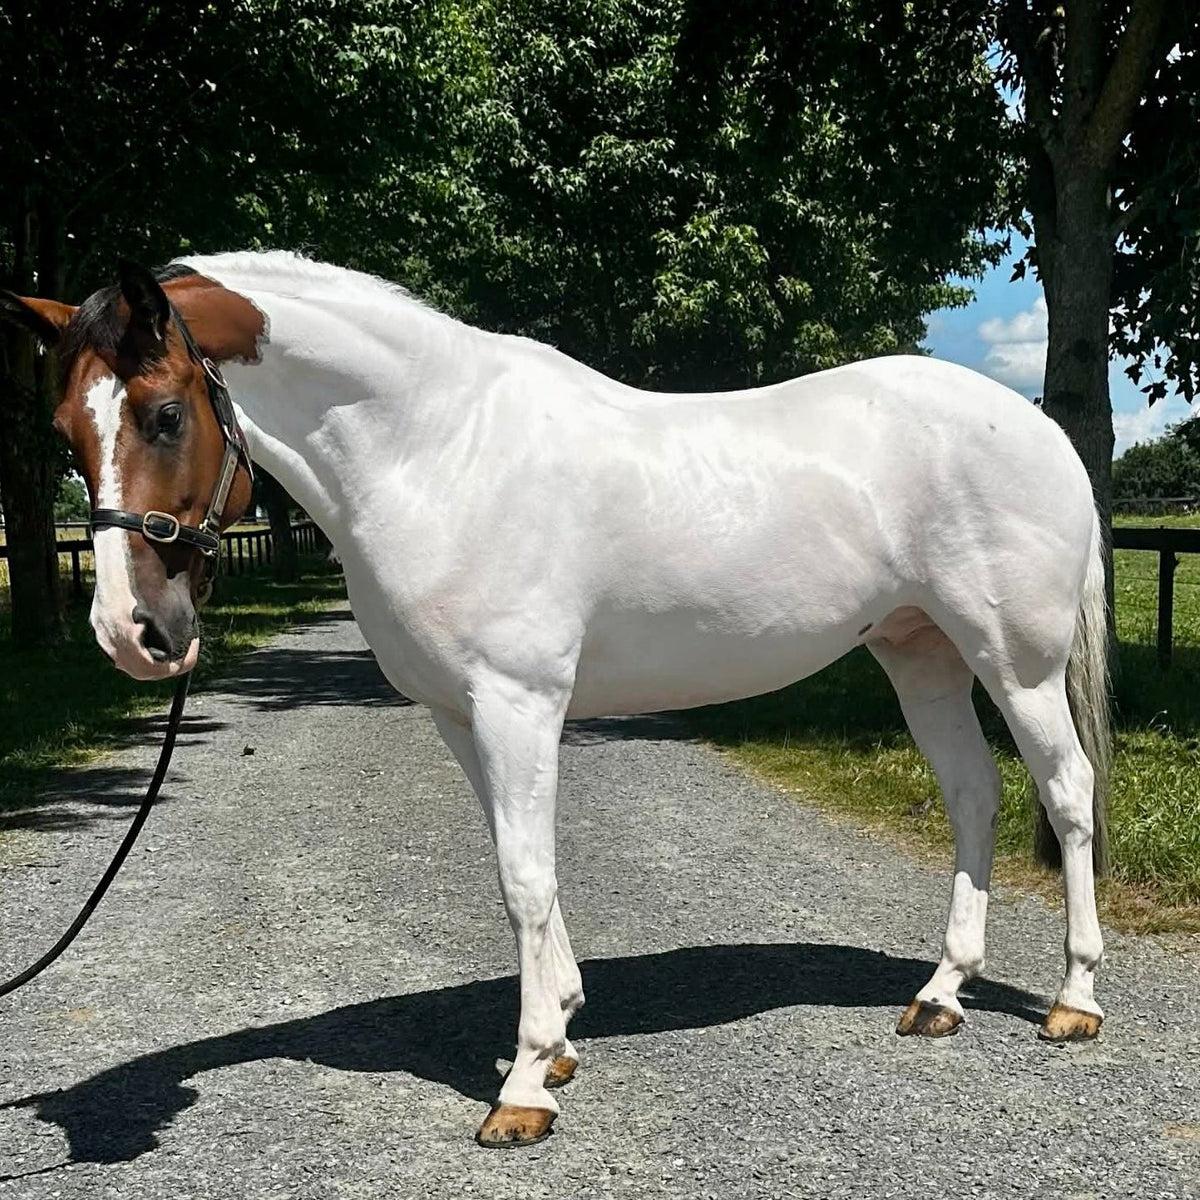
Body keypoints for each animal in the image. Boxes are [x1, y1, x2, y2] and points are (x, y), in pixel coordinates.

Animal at [1, 252, 1110, 1148]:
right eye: (63, 429)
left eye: (164, 414)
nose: (132, 633)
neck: (437, 450)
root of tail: (1038, 428)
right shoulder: (462, 716)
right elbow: (519, 861)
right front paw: (564, 1035)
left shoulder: (518, 703)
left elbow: (524, 876)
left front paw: (526, 1087)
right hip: (919, 655)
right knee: (974, 795)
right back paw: (941, 997)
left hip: (1014, 662)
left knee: (1066, 793)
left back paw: (1074, 1001)